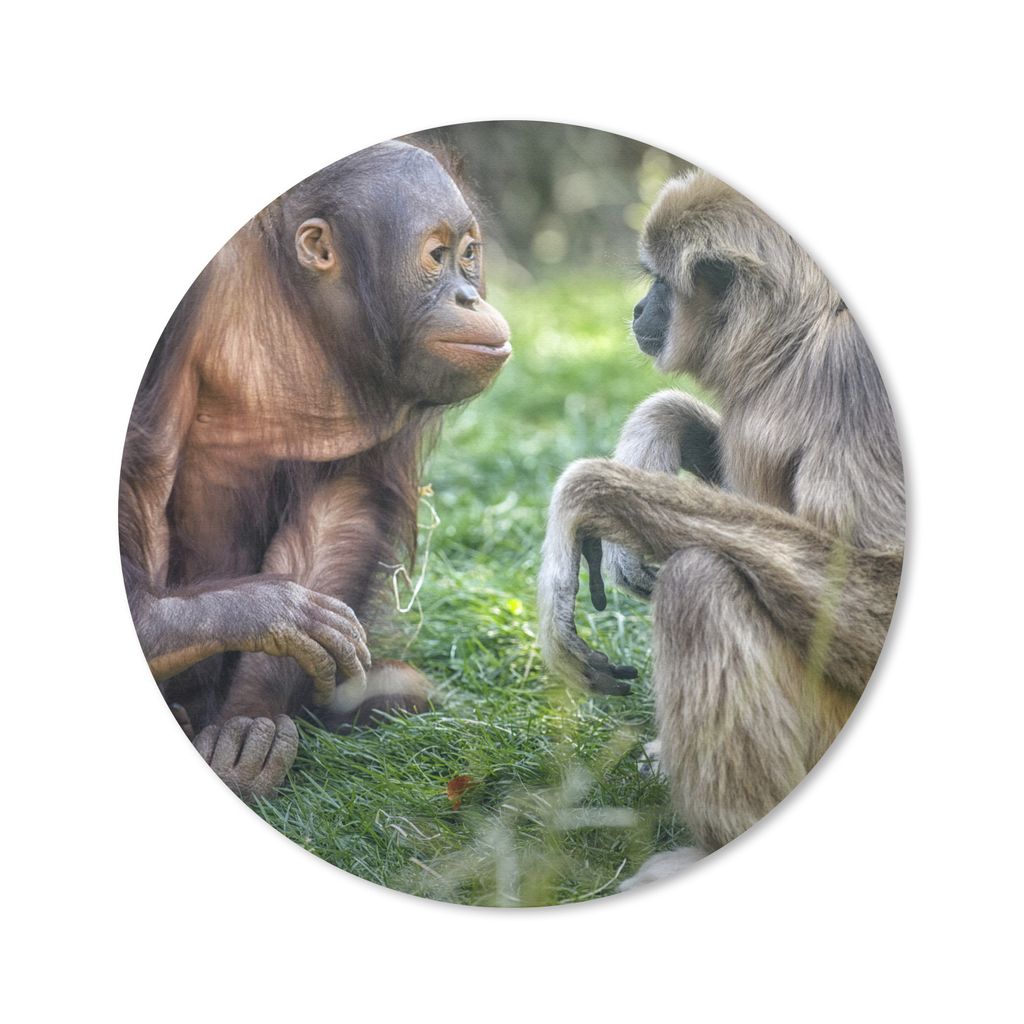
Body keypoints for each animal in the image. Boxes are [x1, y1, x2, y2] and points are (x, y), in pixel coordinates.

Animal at [120, 141, 511, 800]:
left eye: (469, 254)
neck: (296, 298)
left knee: (407, 688)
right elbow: (145, 460)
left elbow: (343, 499)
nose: (470, 297)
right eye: (436, 256)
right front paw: (247, 614)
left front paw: (249, 719)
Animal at [537, 169, 904, 888]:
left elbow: (880, 586)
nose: (638, 309)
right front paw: (653, 433)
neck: (798, 343)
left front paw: (588, 496)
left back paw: (716, 847)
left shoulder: (854, 375)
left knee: (700, 582)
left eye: (659, 281)